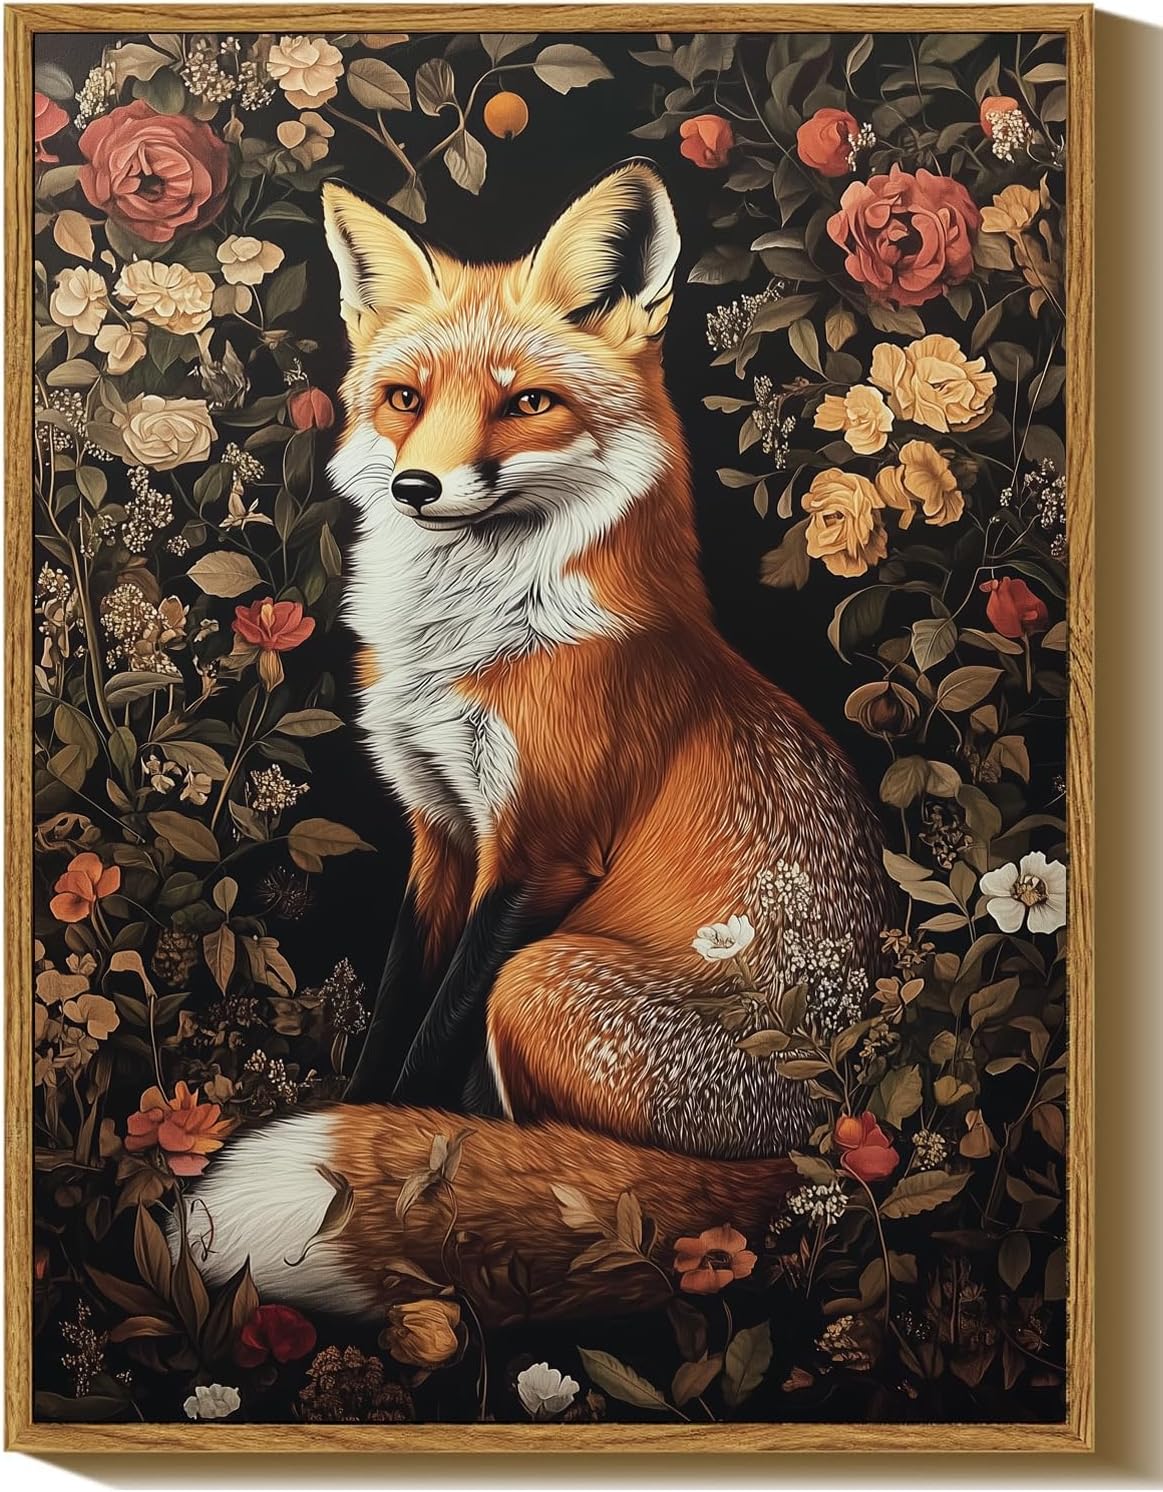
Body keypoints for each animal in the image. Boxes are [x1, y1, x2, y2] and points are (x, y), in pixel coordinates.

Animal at [174, 161, 891, 1325]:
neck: (474, 645)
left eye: (527, 402)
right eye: (405, 399)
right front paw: (364, 1118)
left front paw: (385, 1158)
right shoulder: (440, 831)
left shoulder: (540, 857)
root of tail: (820, 1140)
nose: (415, 487)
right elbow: (395, 1015)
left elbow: (434, 1046)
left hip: (540, 980)